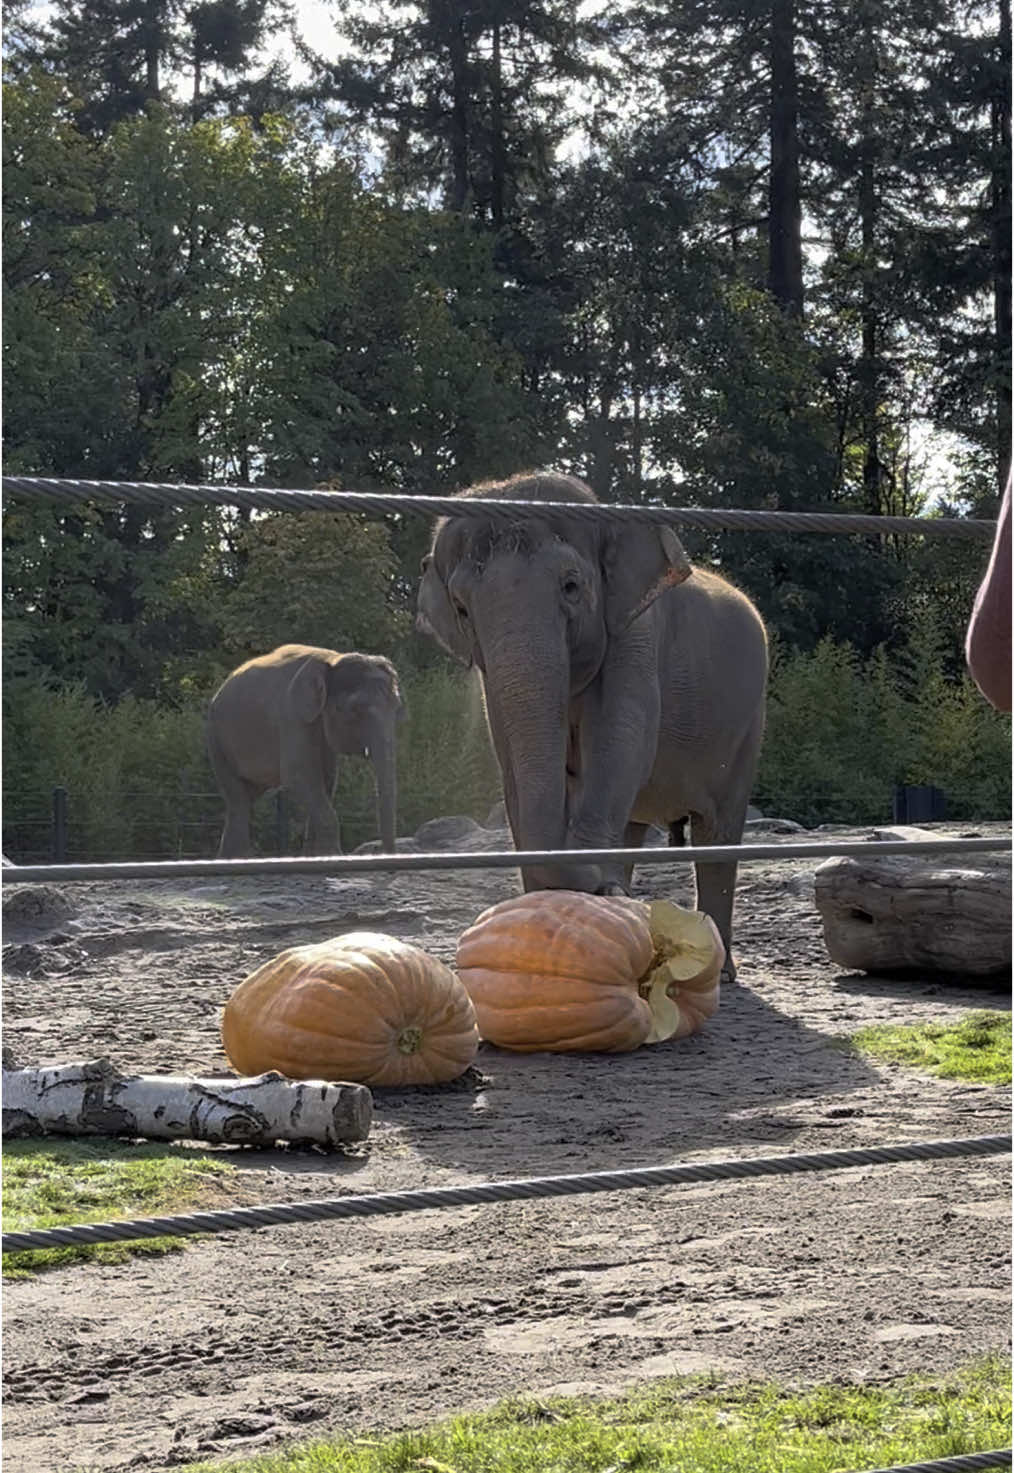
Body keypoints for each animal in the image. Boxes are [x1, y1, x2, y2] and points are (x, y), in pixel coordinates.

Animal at [207, 644, 403, 858]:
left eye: (397, 708)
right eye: (356, 710)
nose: (384, 852)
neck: (332, 661)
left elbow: (327, 780)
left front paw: (316, 855)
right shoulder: (293, 717)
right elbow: (299, 776)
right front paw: (333, 855)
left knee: (245, 799)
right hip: (217, 740)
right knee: (239, 800)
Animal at [416, 471, 768, 979]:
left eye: (571, 585)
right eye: (462, 608)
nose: (605, 888)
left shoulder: (637, 632)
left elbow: (620, 737)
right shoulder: (489, 677)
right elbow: (512, 770)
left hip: (747, 726)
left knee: (717, 831)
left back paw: (718, 968)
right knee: (636, 824)